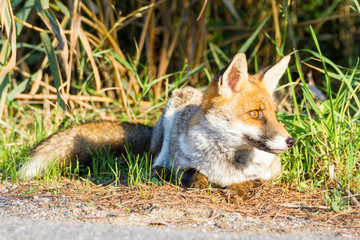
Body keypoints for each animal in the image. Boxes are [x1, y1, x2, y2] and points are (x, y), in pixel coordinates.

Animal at [18, 53, 294, 195]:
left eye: (274, 115)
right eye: (255, 114)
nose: (290, 140)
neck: (228, 164)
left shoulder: (275, 174)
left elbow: (257, 181)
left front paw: (238, 188)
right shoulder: (184, 163)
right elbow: (193, 174)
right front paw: (200, 183)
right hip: (173, 111)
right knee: (155, 163)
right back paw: (160, 172)